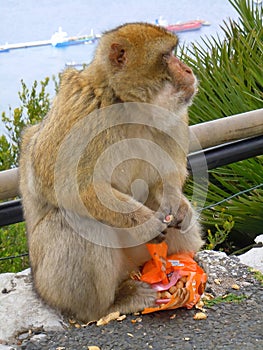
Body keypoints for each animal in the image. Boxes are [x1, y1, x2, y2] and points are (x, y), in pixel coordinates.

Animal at [19, 22, 204, 322]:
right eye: (166, 56)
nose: (187, 69)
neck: (126, 105)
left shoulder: (175, 119)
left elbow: (164, 178)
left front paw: (177, 204)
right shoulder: (80, 109)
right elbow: (62, 186)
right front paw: (146, 223)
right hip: (51, 286)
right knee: (76, 220)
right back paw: (110, 305)